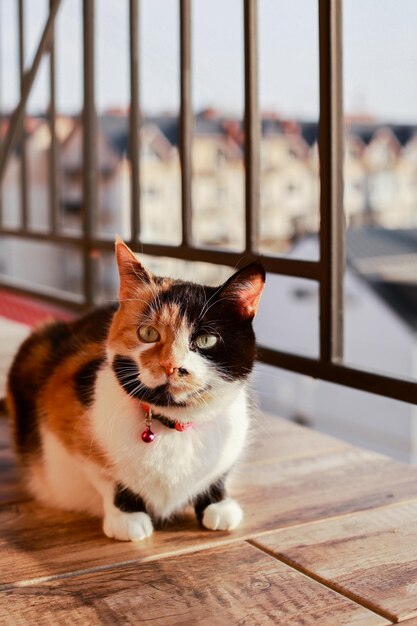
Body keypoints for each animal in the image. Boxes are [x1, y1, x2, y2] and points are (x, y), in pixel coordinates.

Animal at [6, 236, 264, 540]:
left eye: (206, 340)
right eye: (148, 333)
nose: (170, 366)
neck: (174, 425)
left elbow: (219, 474)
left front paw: (219, 505)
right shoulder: (64, 410)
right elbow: (106, 476)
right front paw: (127, 518)